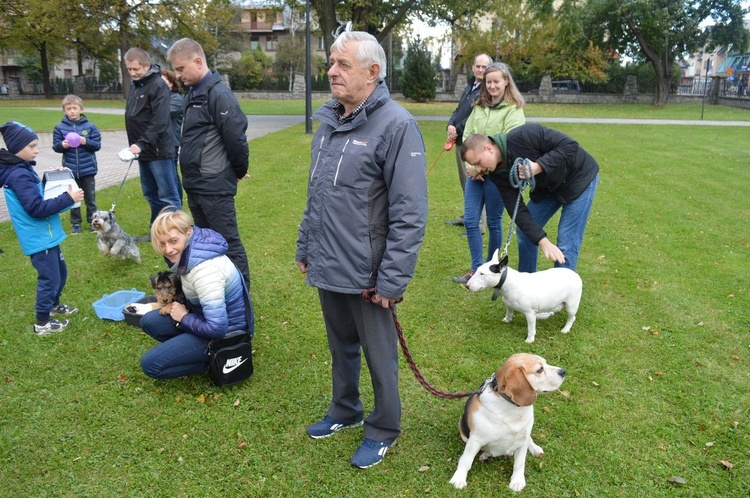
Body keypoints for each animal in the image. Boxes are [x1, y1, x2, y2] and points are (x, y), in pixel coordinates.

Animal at [450, 354, 568, 490]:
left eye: (546, 362)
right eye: (539, 370)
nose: (563, 371)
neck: (512, 408)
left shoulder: (522, 440)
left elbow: (519, 463)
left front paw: (517, 481)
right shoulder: (475, 441)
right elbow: (466, 460)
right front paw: (459, 478)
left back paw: (534, 448)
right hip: (462, 430)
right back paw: (486, 455)